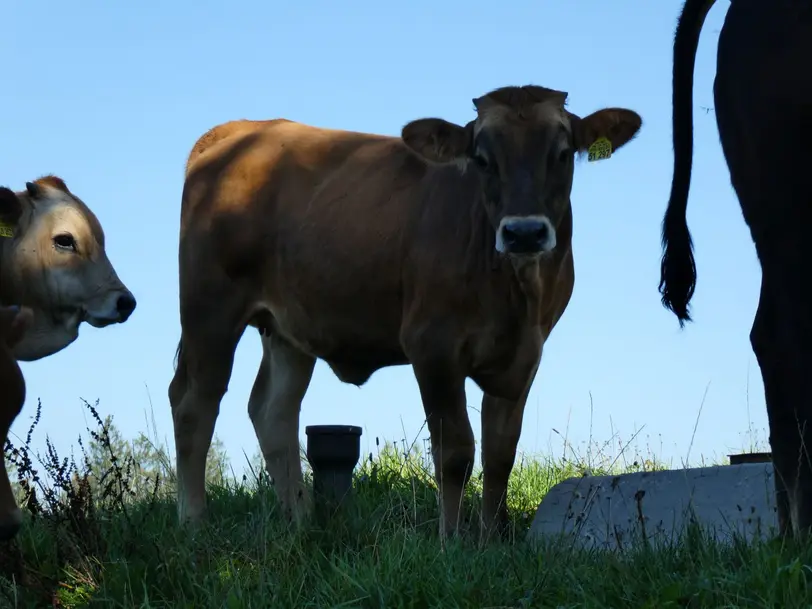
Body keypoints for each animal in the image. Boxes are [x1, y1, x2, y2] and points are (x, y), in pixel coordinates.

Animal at [170, 84, 640, 536]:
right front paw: (451, 542)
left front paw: (490, 541)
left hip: (288, 326)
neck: (515, 295)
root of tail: (243, 130)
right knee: (195, 402)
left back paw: (300, 525)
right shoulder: (433, 346)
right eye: (482, 158)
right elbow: (455, 452)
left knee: (273, 410)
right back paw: (194, 522)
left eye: (562, 153)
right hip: (210, 308)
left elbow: (500, 453)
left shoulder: (525, 355)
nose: (524, 232)